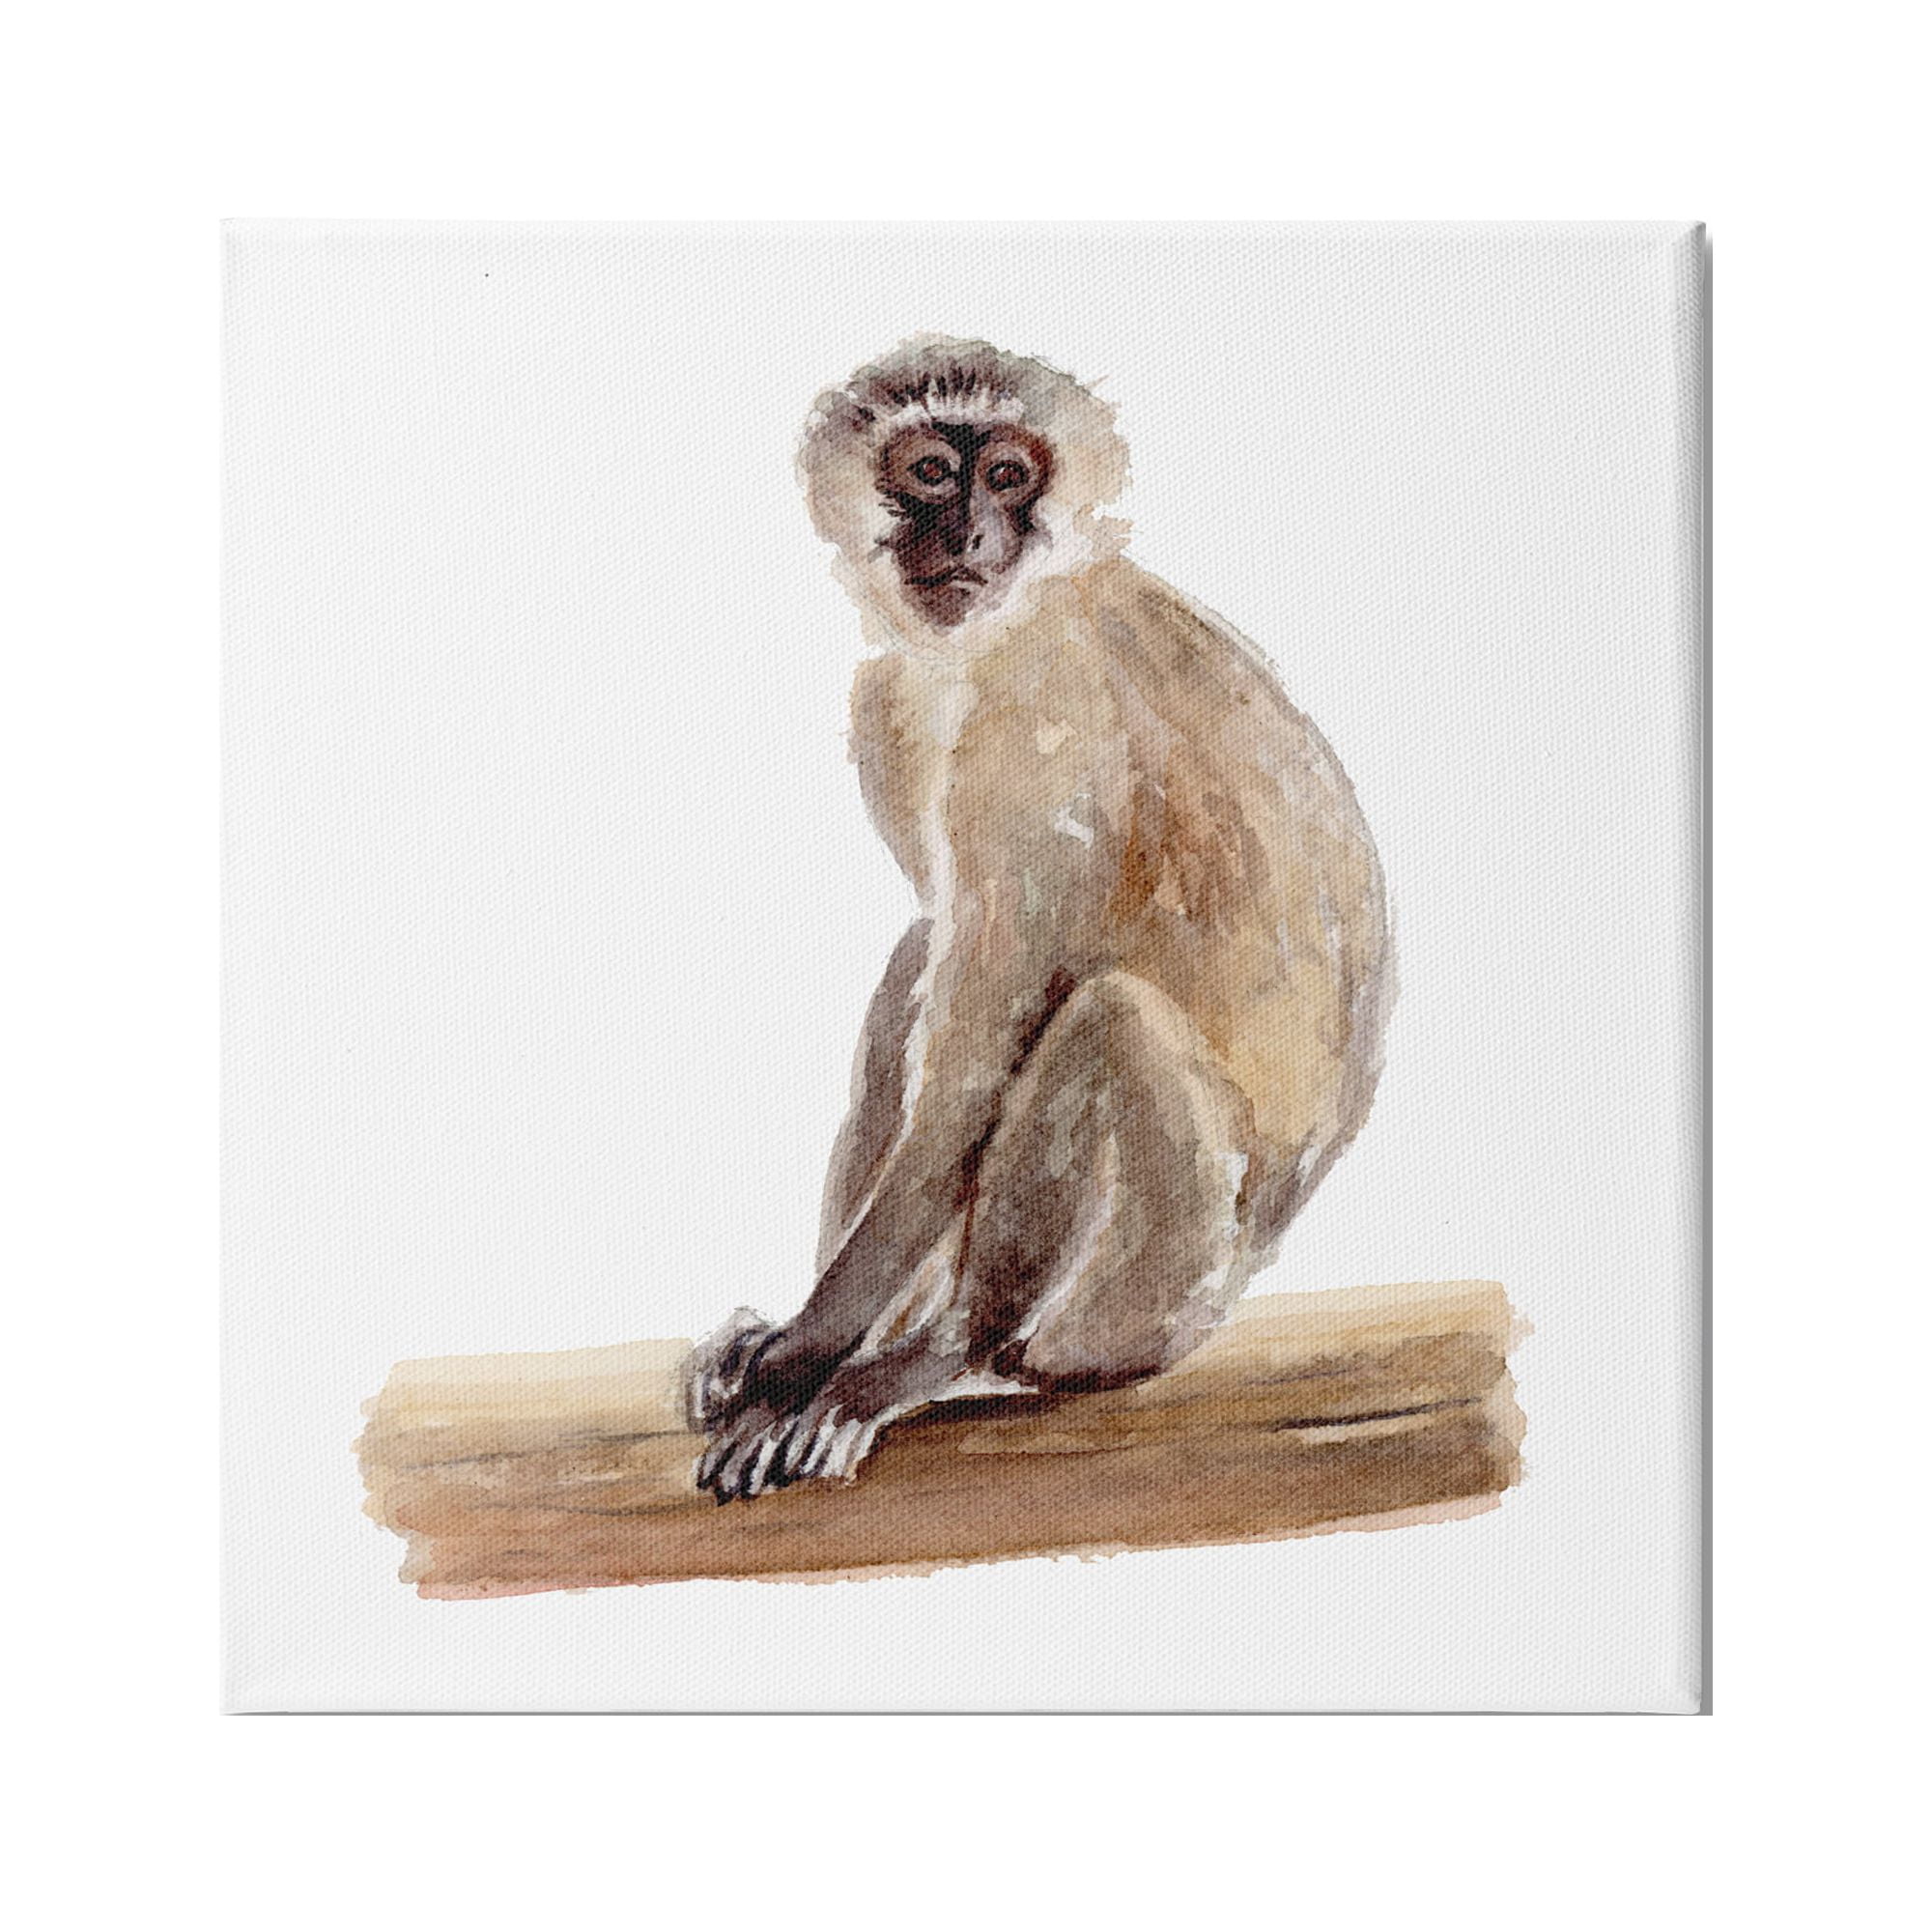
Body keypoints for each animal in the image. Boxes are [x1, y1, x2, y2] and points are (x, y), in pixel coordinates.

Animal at [688, 335, 1393, 1501]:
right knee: (932, 961)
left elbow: (979, 1059)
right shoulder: (890, 701)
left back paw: (943, 1348)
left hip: (1155, 1299)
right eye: (933, 471)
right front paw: (786, 1340)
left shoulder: (1041, 715)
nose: (974, 532)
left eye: (1010, 476)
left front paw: (803, 1356)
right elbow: (937, 978)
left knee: (1106, 1020)